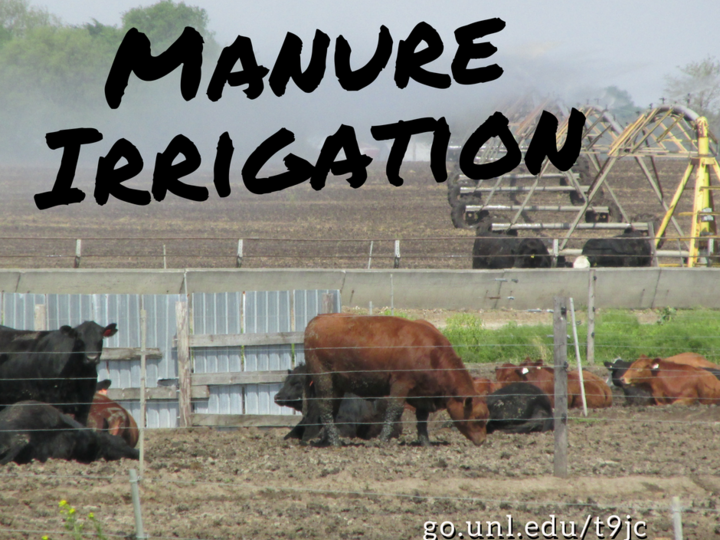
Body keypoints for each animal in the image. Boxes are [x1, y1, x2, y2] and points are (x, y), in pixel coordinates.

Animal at [304, 312, 490, 448]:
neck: (431, 353)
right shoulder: (401, 384)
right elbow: (394, 410)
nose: (482, 441)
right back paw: (334, 441)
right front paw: (384, 440)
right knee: (325, 406)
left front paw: (425, 442)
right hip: (324, 378)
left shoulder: (423, 393)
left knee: (332, 408)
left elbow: (422, 417)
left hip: (337, 385)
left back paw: (326, 440)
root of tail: (316, 320)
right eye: (477, 417)